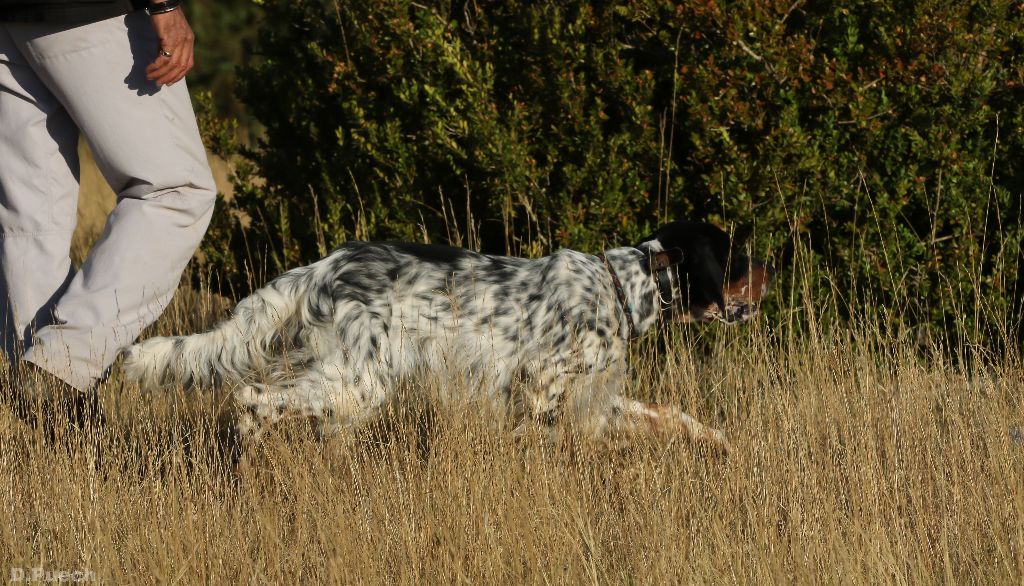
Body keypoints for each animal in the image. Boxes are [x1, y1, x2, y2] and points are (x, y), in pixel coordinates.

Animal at [121, 219, 770, 452]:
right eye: (733, 254)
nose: (770, 270)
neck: (617, 289)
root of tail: (322, 268)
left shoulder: (593, 399)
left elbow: (674, 417)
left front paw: (721, 443)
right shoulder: (540, 391)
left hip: (349, 385)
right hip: (358, 378)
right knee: (253, 399)